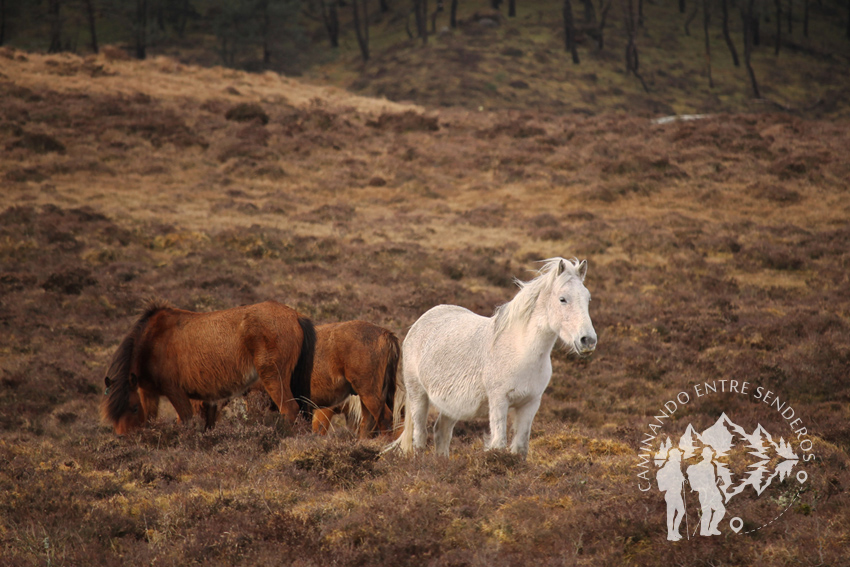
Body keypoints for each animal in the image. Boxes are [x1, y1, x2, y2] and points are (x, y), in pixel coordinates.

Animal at [102, 299, 316, 435]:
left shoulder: (176, 392)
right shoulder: (149, 393)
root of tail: (296, 315)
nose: (125, 438)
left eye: (133, 408)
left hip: (273, 379)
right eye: (111, 416)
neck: (152, 339)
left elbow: (187, 422)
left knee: (290, 410)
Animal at [198, 320, 402, 439]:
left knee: (384, 419)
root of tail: (385, 334)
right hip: (366, 397)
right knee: (369, 424)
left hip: (369, 394)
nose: (203, 429)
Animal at [385, 258, 597, 458]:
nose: (588, 340)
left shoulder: (530, 404)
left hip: (451, 405)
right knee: (419, 438)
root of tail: (421, 321)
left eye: (588, 299)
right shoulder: (499, 401)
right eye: (563, 299)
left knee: (441, 432)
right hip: (418, 395)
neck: (520, 352)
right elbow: (499, 444)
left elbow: (520, 449)